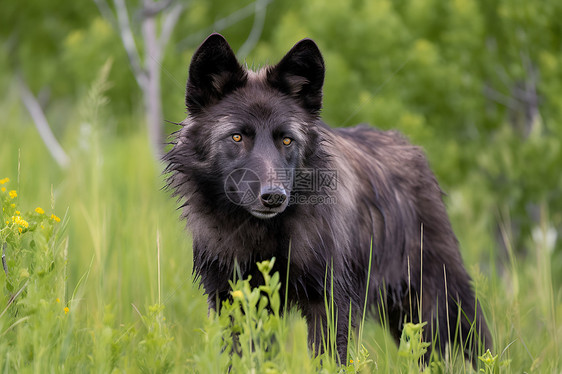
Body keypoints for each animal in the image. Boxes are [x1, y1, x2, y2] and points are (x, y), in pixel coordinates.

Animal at [163, 32, 490, 366]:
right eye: (237, 137)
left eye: (287, 140)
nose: (274, 196)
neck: (262, 234)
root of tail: (411, 148)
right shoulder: (235, 300)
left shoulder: (331, 302)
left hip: (440, 300)